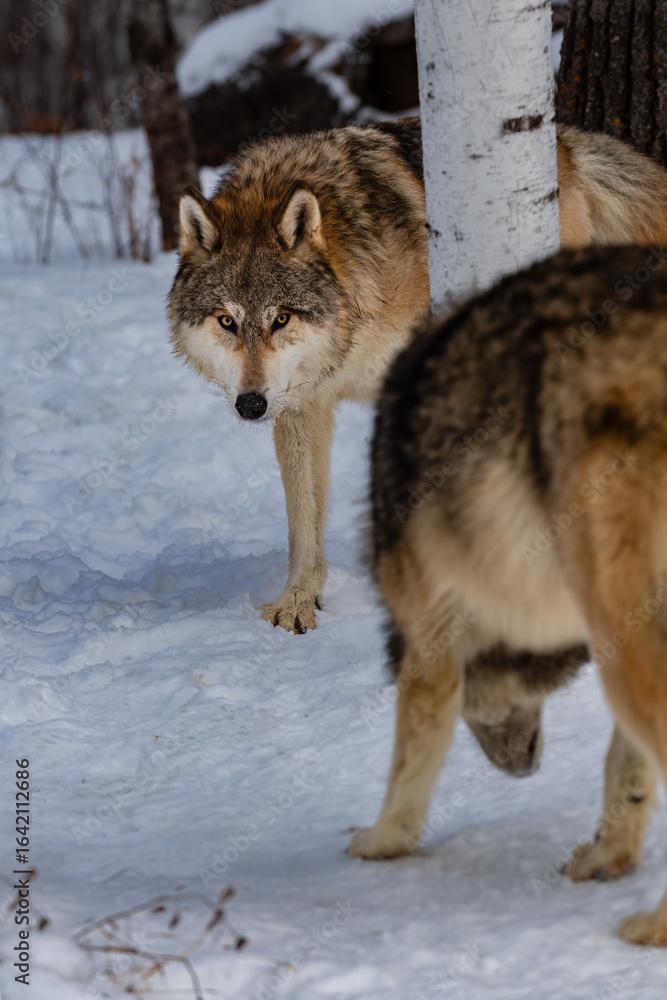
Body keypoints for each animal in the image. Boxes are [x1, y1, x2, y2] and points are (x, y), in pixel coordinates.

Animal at [168, 118, 667, 635]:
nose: (251, 405)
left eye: (281, 319)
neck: (354, 317)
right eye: (227, 321)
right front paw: (299, 600)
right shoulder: (303, 404)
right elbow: (303, 518)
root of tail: (568, 140)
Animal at [348, 244, 667, 945]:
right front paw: (608, 855)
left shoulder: (429, 636)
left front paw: (378, 842)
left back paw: (653, 928)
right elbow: (623, 767)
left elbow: (407, 765)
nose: (522, 769)